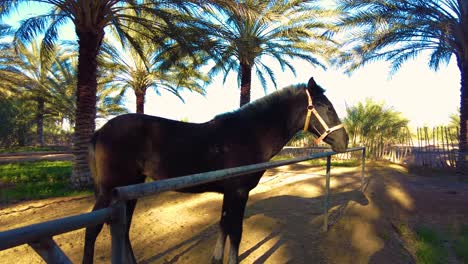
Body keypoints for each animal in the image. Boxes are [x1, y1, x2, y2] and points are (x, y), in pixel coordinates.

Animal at [83, 77, 348, 264]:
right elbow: (236, 230)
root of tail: (100, 131)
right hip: (110, 192)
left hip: (130, 189)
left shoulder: (228, 193)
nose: (344, 141)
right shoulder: (239, 192)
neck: (248, 135)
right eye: (324, 107)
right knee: (93, 229)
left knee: (123, 229)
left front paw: (217, 258)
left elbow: (223, 225)